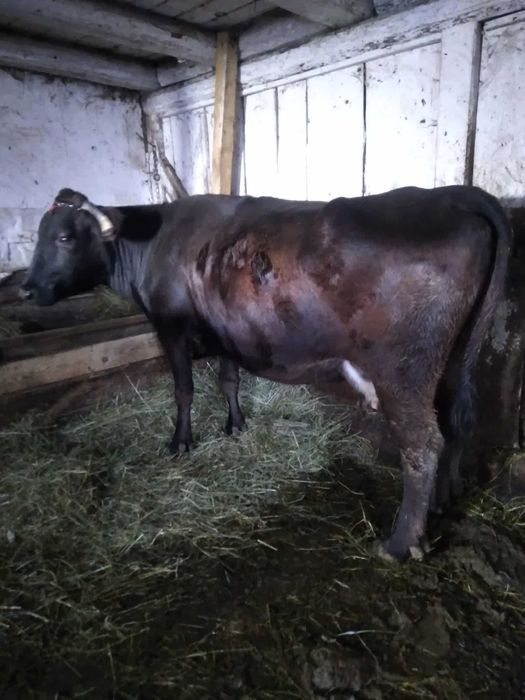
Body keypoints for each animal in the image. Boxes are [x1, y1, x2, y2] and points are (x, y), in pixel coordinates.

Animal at [21, 186, 511, 561]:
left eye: (64, 237)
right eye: (38, 236)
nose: (26, 288)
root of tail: (449, 193)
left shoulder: (171, 328)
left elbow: (183, 390)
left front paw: (180, 442)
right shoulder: (226, 330)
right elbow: (229, 380)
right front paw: (236, 425)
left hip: (404, 372)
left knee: (423, 445)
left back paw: (400, 544)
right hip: (457, 357)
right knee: (458, 420)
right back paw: (443, 503)